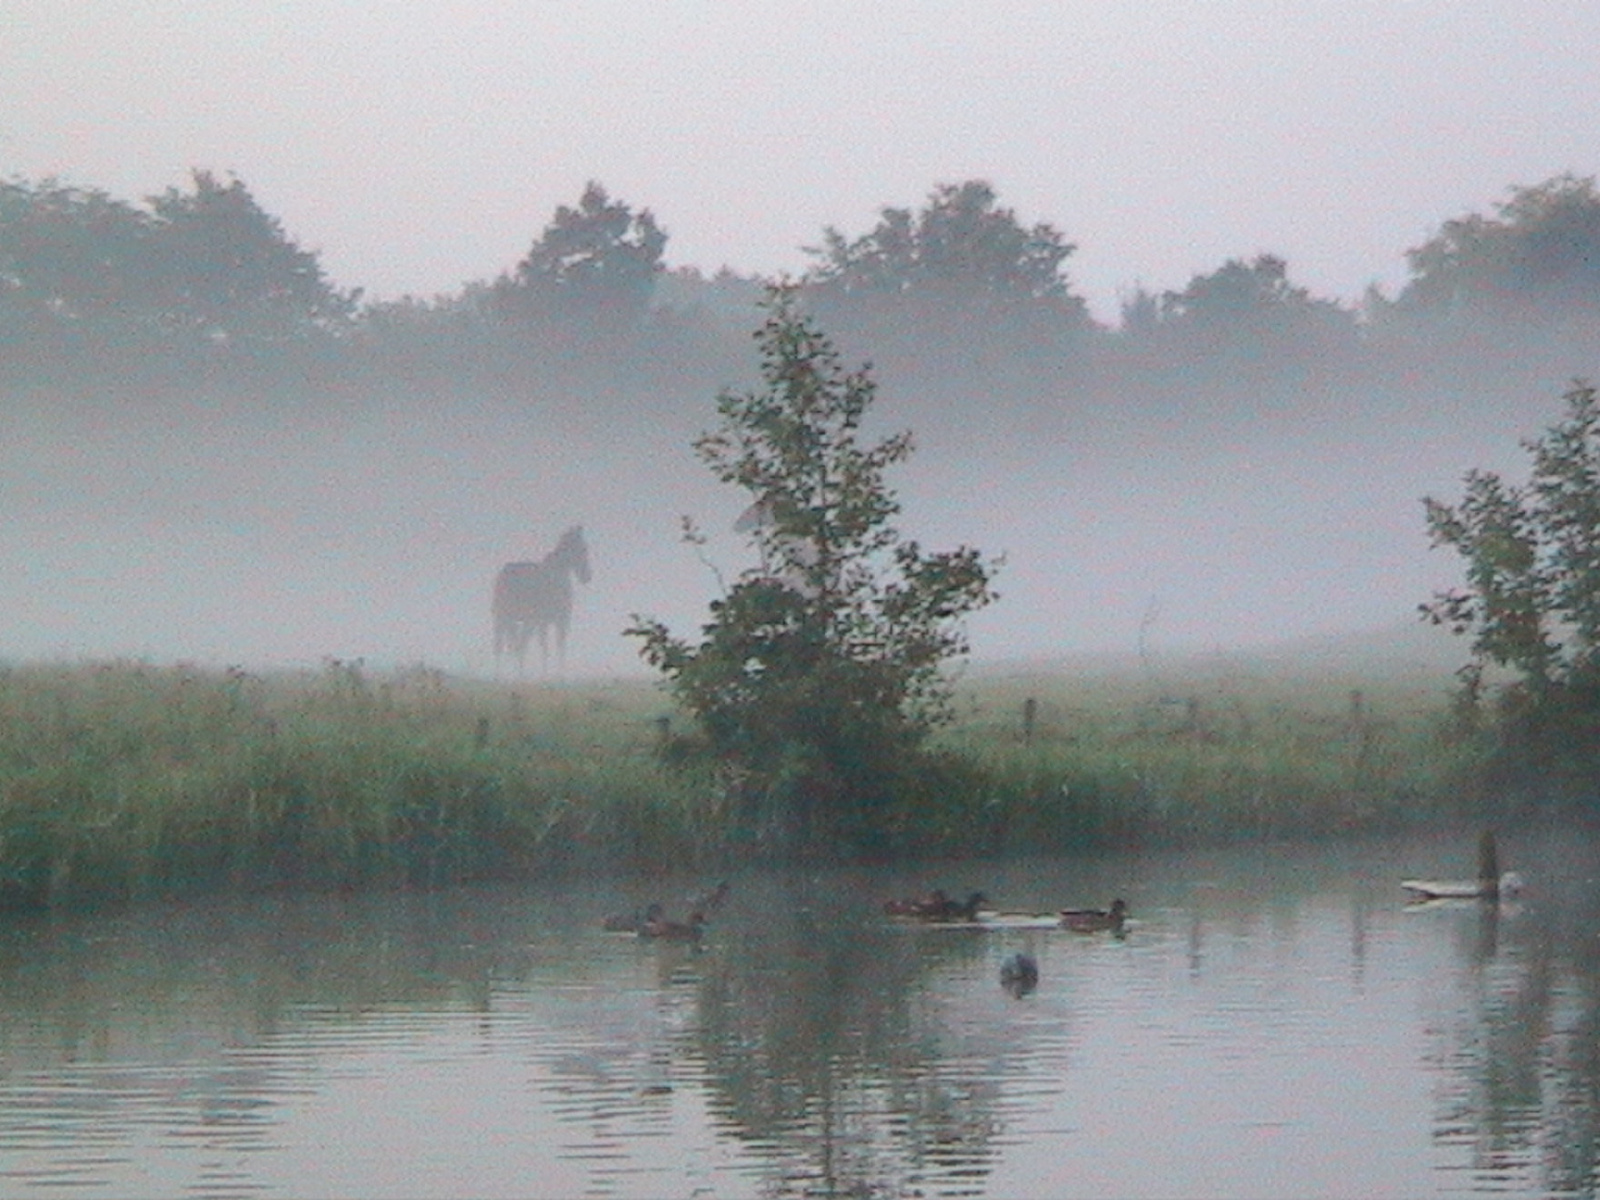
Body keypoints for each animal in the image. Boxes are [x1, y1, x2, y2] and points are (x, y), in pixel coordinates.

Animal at [492, 524, 595, 678]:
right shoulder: (551, 621)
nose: (587, 576)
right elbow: (551, 647)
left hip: (512, 620)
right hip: (509, 618)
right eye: (583, 548)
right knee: (509, 644)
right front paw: (550, 675)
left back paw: (511, 674)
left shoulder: (551, 621)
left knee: (513, 645)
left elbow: (554, 646)